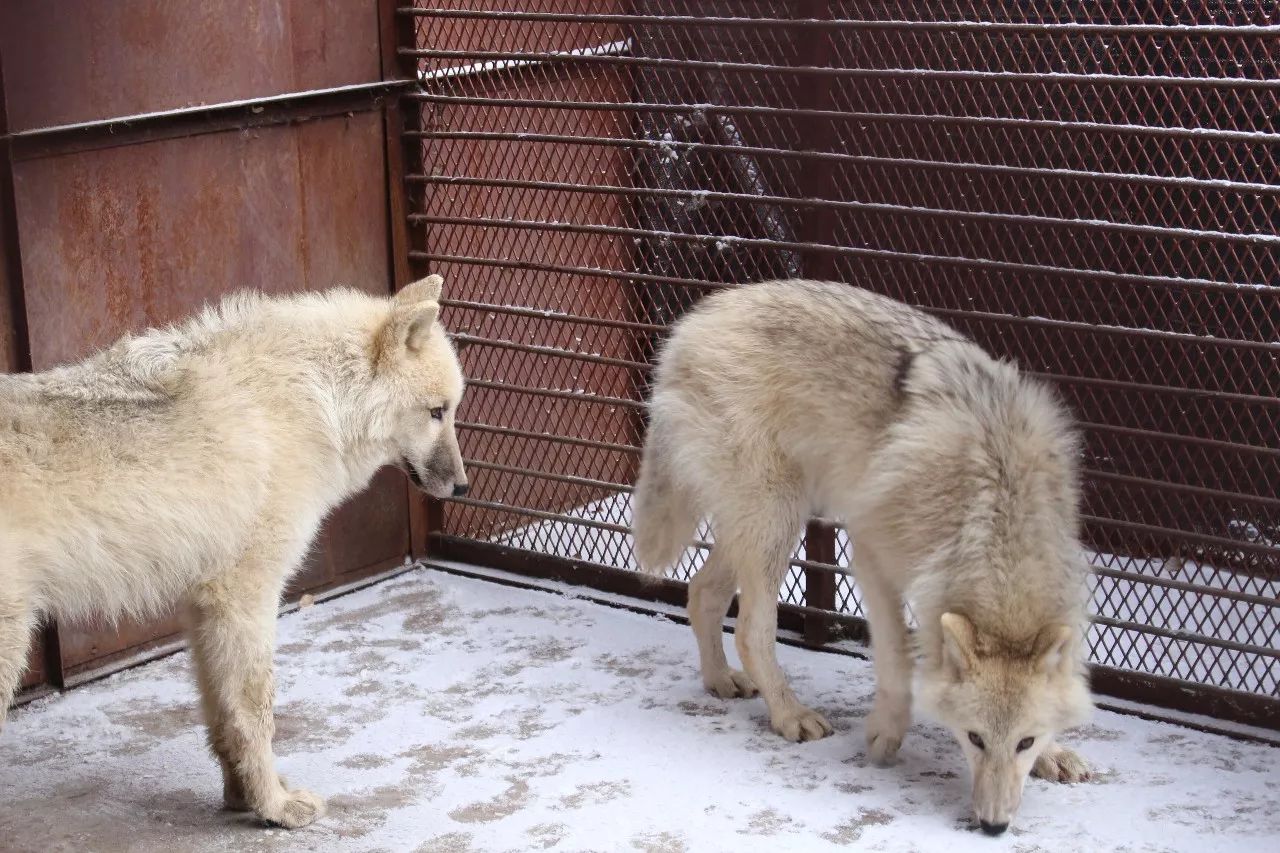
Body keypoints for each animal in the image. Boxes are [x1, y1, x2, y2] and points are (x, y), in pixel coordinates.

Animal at [0, 275, 471, 824]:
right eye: (437, 412)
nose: (463, 488)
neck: (313, 403)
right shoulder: (245, 598)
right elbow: (256, 711)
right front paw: (274, 808)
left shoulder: (203, 605)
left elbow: (223, 718)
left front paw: (242, 796)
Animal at [629, 277, 1090, 829]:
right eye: (974, 738)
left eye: (1024, 742)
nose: (993, 825)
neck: (994, 494)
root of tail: (689, 325)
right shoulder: (870, 550)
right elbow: (895, 656)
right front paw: (888, 731)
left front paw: (1053, 755)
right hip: (776, 519)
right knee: (751, 630)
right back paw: (789, 714)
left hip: (764, 520)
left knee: (702, 592)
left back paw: (720, 681)